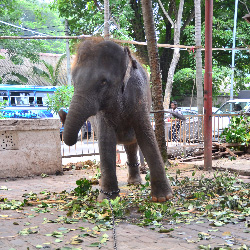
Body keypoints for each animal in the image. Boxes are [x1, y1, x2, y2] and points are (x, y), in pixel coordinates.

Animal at [58, 39, 173, 203]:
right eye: (73, 82)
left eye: (103, 82)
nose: (61, 112)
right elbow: (106, 141)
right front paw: (107, 199)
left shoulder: (138, 95)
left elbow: (146, 137)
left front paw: (163, 198)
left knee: (132, 144)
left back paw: (135, 183)